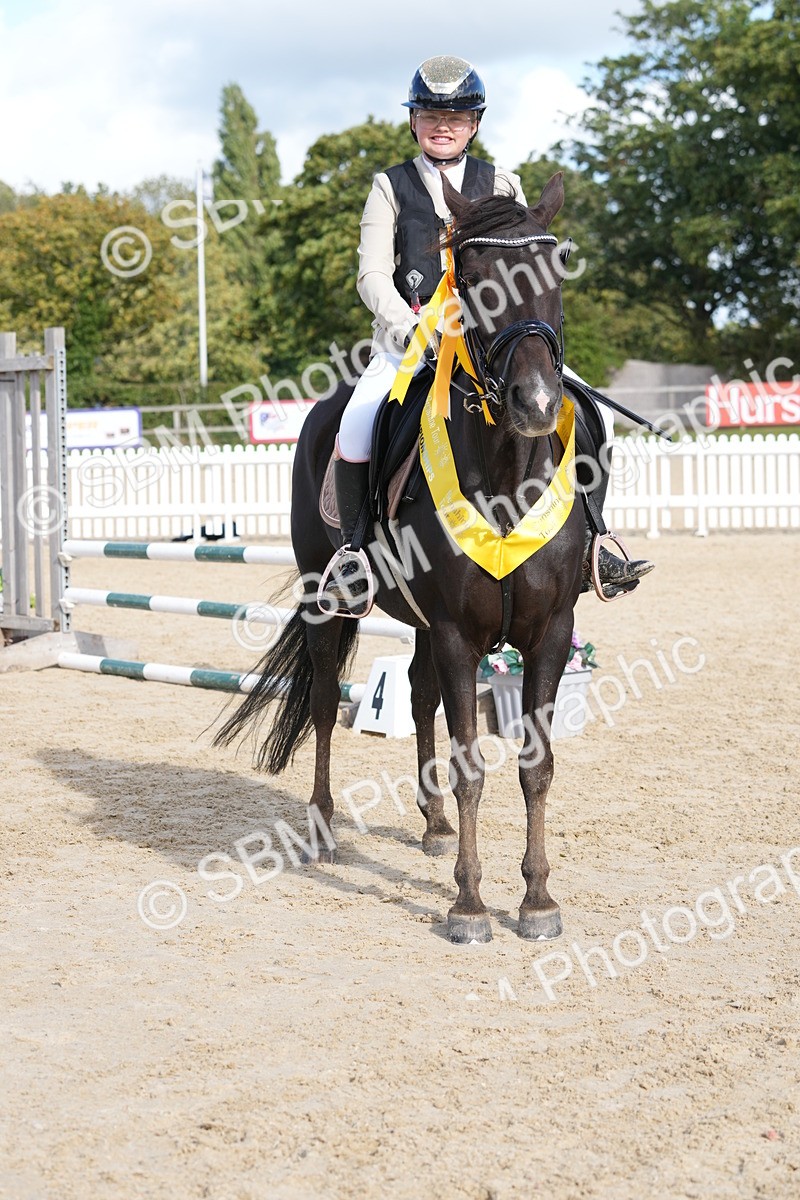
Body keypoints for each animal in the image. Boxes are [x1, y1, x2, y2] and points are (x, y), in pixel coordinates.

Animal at [215, 171, 585, 944]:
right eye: (470, 277)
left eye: (556, 268)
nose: (538, 404)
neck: (506, 475)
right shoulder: (456, 633)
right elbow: (472, 764)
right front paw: (469, 906)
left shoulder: (548, 631)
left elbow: (535, 764)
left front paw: (537, 899)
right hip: (327, 602)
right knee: (325, 701)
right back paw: (323, 827)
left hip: (419, 623)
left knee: (416, 696)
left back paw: (436, 825)